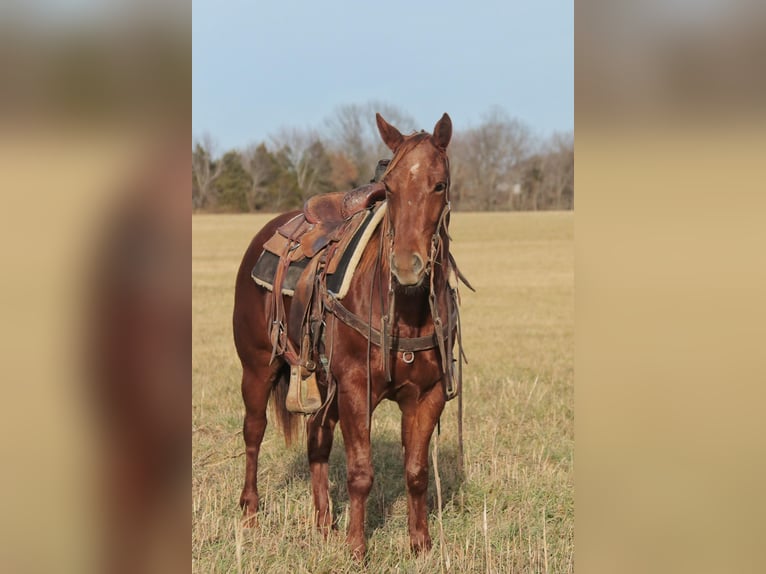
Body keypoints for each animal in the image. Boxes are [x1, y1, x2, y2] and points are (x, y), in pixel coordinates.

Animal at [233, 113, 465, 558]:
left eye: (439, 185)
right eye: (389, 189)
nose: (407, 266)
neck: (407, 310)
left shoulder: (427, 395)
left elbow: (416, 472)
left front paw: (421, 544)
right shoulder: (357, 387)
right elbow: (360, 471)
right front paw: (357, 547)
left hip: (324, 383)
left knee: (316, 439)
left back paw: (324, 524)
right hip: (257, 369)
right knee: (254, 432)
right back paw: (250, 512)